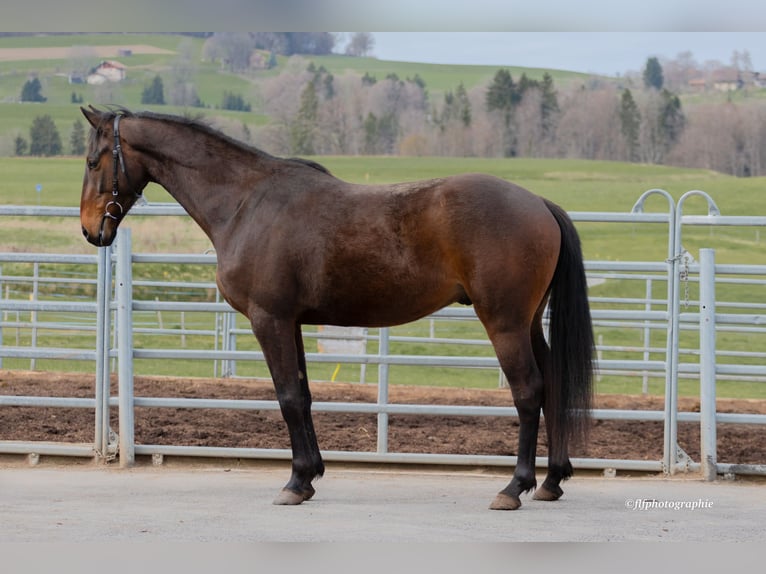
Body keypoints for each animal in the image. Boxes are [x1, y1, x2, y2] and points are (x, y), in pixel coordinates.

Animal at [79, 106, 594, 510]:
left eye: (92, 159)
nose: (89, 229)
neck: (246, 202)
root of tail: (538, 203)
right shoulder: (292, 323)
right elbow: (304, 395)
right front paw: (309, 477)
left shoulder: (270, 320)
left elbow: (288, 397)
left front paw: (294, 482)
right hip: (529, 323)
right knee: (551, 385)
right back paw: (551, 481)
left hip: (504, 323)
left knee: (528, 391)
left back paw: (514, 487)